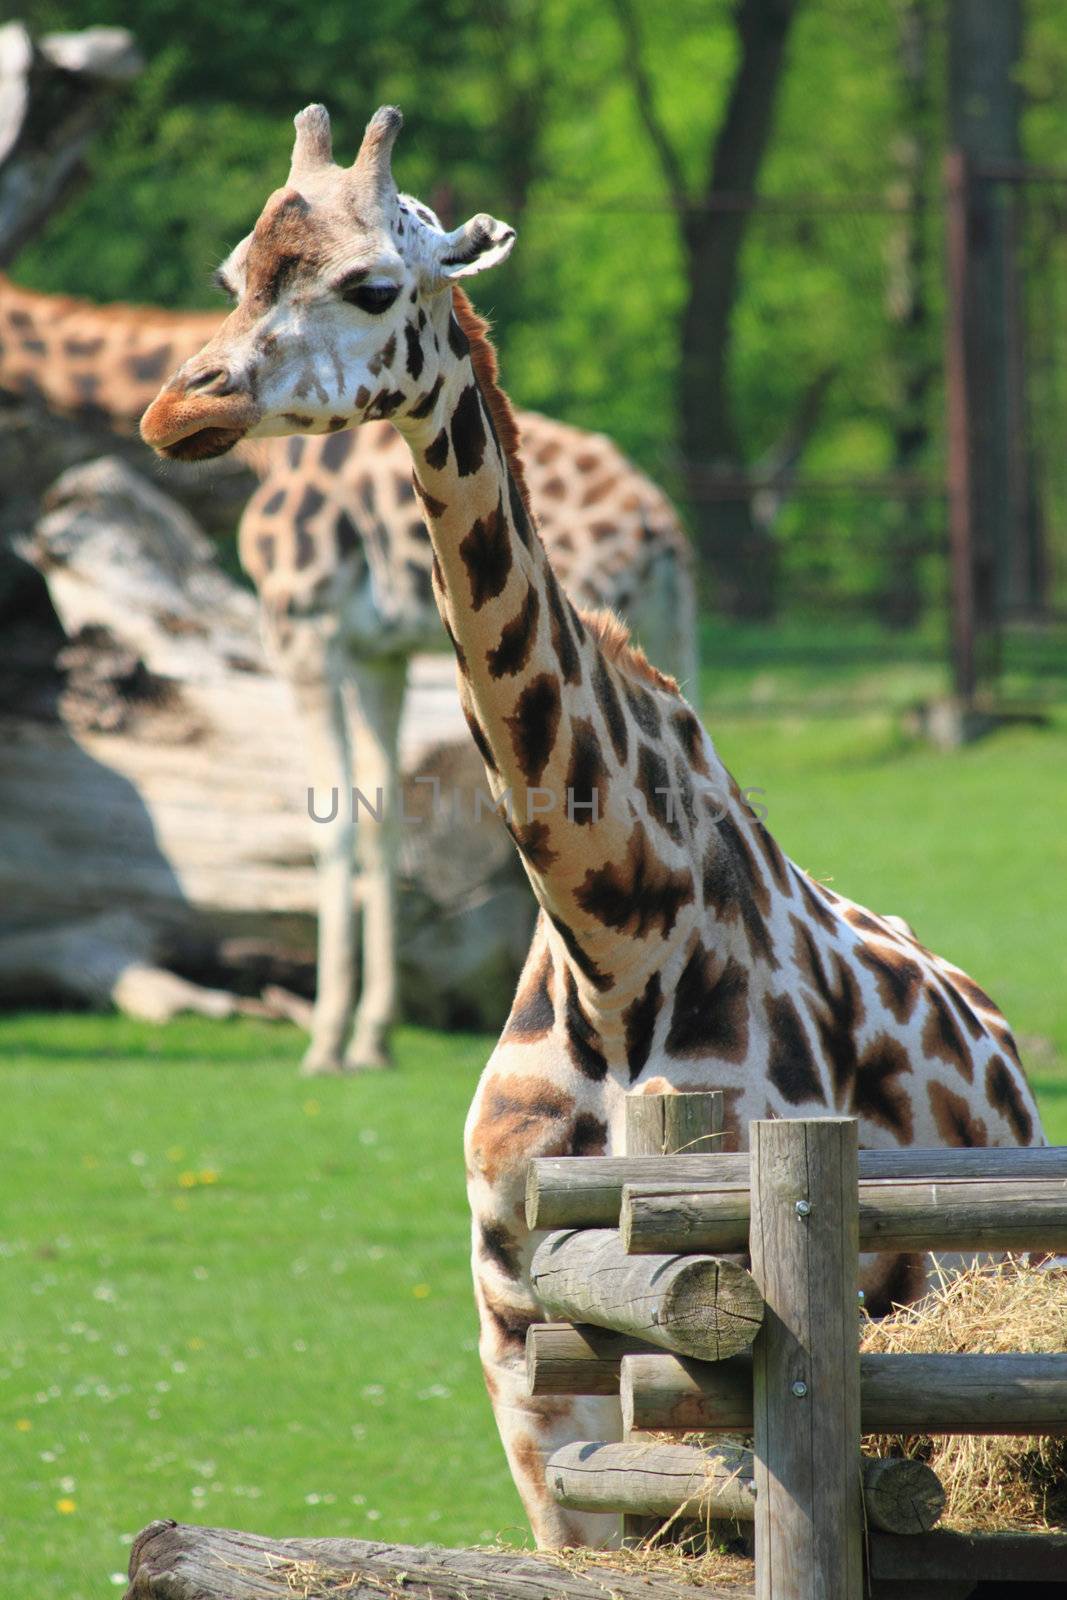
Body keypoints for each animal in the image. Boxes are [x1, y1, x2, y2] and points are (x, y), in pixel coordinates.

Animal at [0, 272, 697, 1075]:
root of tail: (661, 535)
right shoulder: (377, 652)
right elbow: (380, 813)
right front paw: (374, 1035)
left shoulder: (303, 627)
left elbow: (326, 819)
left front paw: (328, 1039)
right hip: (661, 644)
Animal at [137, 103, 1049, 1548]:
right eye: (236, 271)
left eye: (372, 284)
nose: (182, 405)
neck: (615, 932)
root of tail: (1002, 1048)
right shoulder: (523, 1352)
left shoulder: (760, 1314)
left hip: (945, 1310)